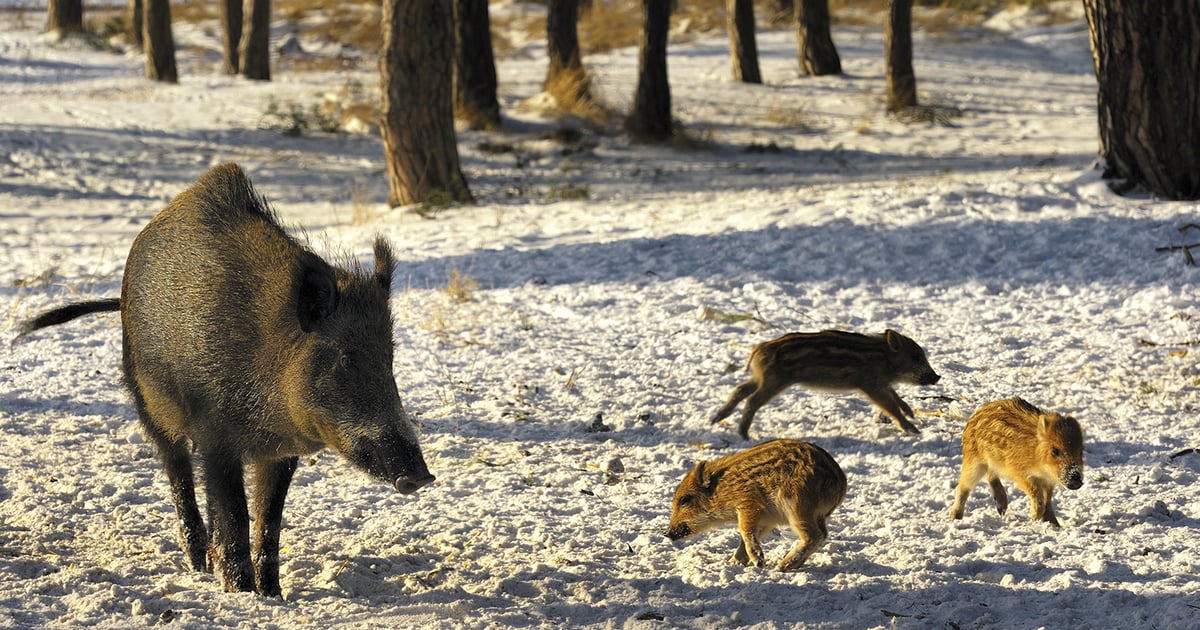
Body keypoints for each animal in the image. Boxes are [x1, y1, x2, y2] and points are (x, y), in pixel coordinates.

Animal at [16, 163, 434, 596]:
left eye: (389, 357)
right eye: (345, 358)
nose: (422, 477)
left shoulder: (280, 451)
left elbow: (268, 522)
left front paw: (273, 596)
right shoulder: (216, 436)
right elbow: (236, 515)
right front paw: (244, 595)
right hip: (147, 404)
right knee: (180, 477)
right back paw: (198, 565)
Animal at [665, 439, 847, 571]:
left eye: (685, 500)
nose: (666, 533)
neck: (721, 489)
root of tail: (840, 483)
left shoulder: (748, 504)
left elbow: (745, 531)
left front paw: (758, 562)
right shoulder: (767, 518)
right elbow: (748, 537)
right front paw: (733, 563)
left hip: (798, 507)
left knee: (815, 536)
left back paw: (782, 566)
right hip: (816, 514)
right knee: (823, 534)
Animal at [710, 329, 941, 440]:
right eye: (915, 357)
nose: (936, 377)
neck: (883, 359)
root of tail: (758, 349)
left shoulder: (880, 383)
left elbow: (896, 397)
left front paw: (910, 413)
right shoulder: (870, 384)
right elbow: (890, 405)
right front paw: (913, 429)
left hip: (762, 378)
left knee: (740, 389)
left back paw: (716, 419)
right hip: (774, 381)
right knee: (752, 400)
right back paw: (744, 434)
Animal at [950, 397, 1084, 527]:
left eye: (1080, 450)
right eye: (1055, 451)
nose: (1076, 481)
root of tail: (975, 414)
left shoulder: (1048, 480)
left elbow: (1048, 500)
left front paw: (1054, 525)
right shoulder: (1018, 471)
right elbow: (1035, 491)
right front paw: (1035, 517)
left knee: (991, 475)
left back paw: (1001, 510)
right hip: (974, 462)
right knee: (963, 486)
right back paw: (955, 517)